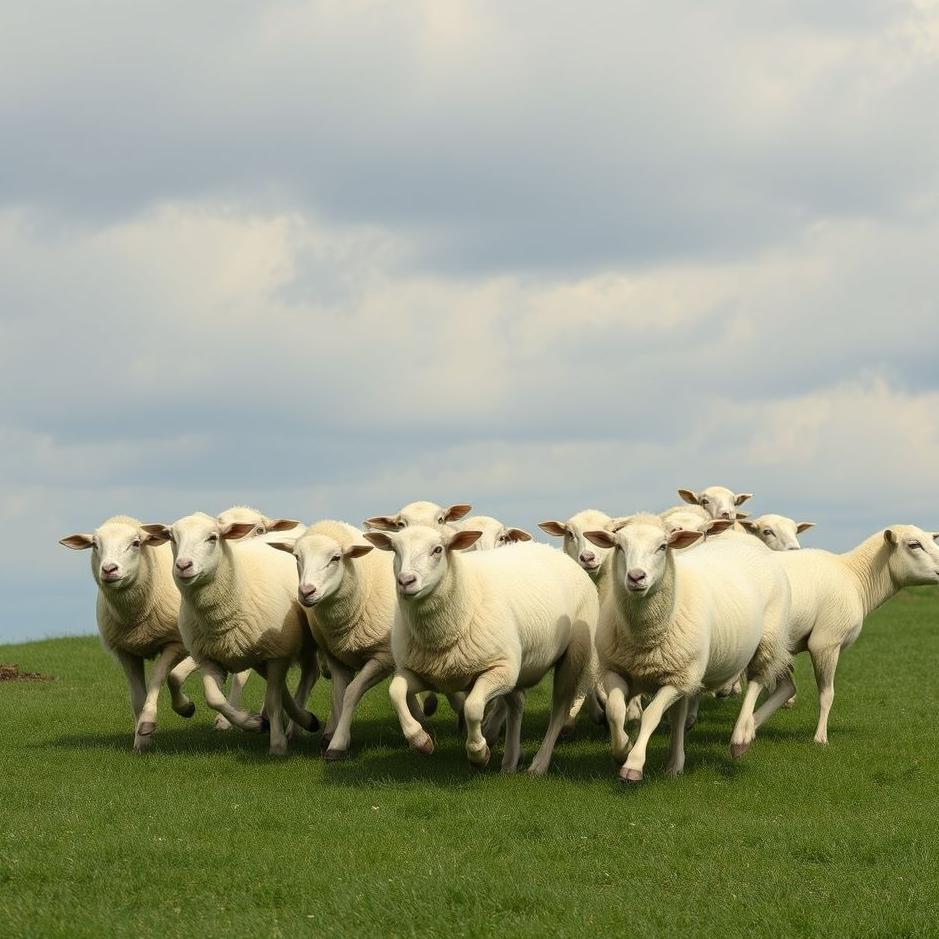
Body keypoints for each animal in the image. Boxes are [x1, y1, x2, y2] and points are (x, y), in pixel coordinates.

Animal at [59, 515, 195, 752]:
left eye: (136, 543)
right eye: (95, 545)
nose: (109, 569)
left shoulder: (175, 643)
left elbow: (159, 677)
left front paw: (153, 719)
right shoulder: (124, 650)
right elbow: (137, 695)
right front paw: (141, 739)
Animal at [142, 513, 320, 756]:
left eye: (212, 537)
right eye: (172, 537)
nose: (183, 565)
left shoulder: (277, 653)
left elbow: (273, 700)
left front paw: (277, 745)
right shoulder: (209, 658)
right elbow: (213, 698)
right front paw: (251, 723)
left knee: (308, 675)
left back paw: (297, 725)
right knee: (280, 688)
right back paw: (300, 720)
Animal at [267, 519, 416, 760]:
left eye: (336, 558)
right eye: (297, 557)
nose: (306, 592)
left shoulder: (382, 658)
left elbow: (351, 693)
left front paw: (337, 744)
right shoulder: (336, 658)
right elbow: (338, 695)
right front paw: (332, 736)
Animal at [363, 525, 598, 775]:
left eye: (438, 550)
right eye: (395, 550)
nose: (405, 581)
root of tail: (553, 551)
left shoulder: (498, 670)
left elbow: (472, 707)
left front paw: (478, 753)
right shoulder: (421, 673)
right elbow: (396, 692)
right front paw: (420, 740)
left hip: (572, 655)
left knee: (559, 709)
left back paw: (538, 765)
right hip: (517, 665)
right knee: (516, 705)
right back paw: (510, 761)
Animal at [584, 513, 792, 782]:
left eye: (663, 546)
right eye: (619, 546)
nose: (636, 577)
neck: (645, 637)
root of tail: (745, 539)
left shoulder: (677, 679)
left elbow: (651, 715)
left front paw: (634, 764)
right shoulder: (617, 670)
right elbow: (615, 710)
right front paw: (622, 749)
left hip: (768, 638)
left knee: (756, 682)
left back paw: (741, 737)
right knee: (680, 714)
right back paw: (675, 763)